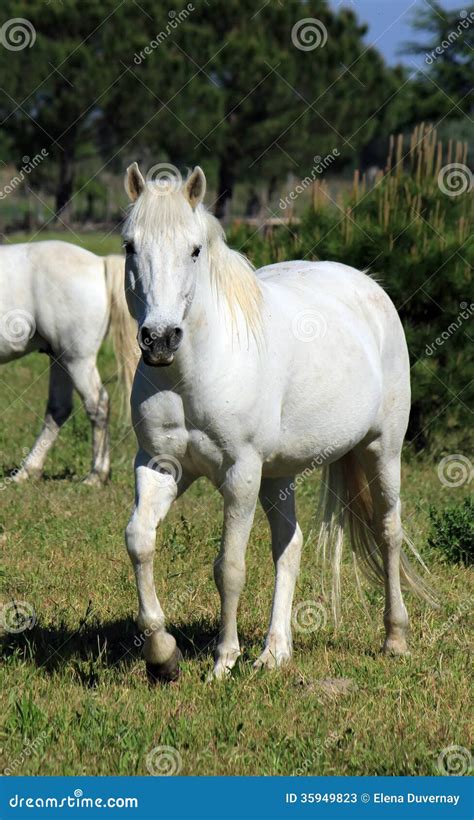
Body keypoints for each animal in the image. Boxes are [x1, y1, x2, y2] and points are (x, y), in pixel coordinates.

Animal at [0, 240, 138, 484]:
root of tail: (99, 263)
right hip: (60, 358)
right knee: (58, 409)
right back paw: (27, 471)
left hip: (77, 360)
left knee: (98, 404)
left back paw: (96, 475)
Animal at [123, 163, 434, 684]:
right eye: (129, 245)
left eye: (194, 250)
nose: (160, 339)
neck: (193, 373)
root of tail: (368, 285)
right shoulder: (160, 466)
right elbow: (140, 541)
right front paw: (163, 655)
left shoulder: (241, 473)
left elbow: (229, 566)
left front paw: (223, 660)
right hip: (279, 476)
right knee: (289, 546)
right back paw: (275, 651)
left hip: (381, 450)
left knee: (389, 532)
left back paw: (395, 638)